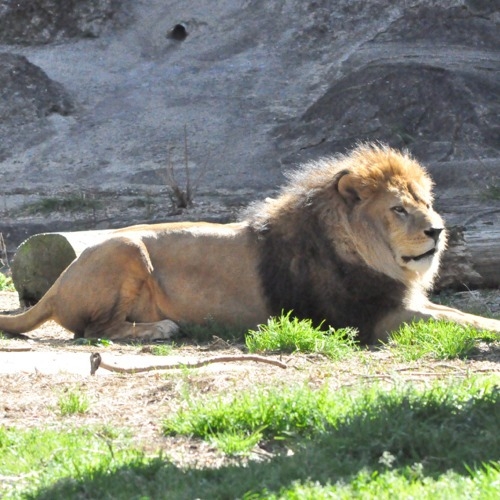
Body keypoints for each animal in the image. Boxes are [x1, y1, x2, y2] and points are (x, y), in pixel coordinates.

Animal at [0, 143, 500, 342]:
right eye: (398, 209)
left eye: (426, 202)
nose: (437, 230)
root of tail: (56, 285)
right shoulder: (369, 319)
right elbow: (455, 321)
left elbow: (455, 313)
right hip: (126, 249)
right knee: (94, 331)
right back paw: (160, 329)